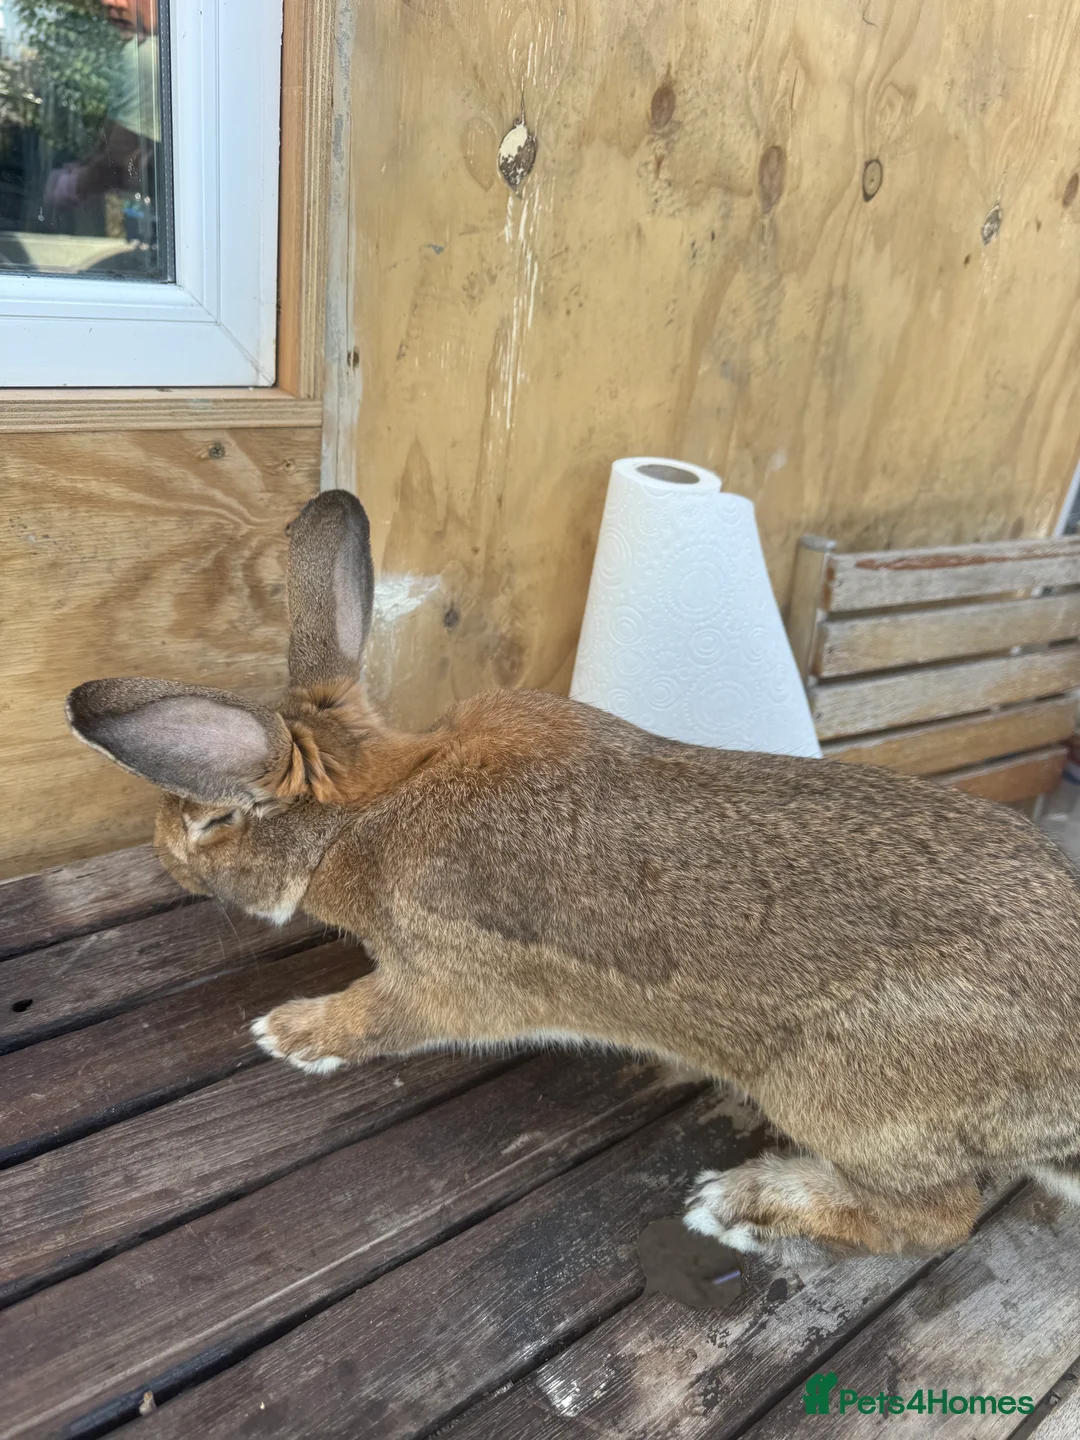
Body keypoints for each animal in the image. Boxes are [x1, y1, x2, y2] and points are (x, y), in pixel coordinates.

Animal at [66, 488, 1080, 1263]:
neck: (374, 803)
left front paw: (290, 1032)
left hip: (834, 1092)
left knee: (937, 1217)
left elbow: (378, 1017)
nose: (160, 849)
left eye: (208, 819)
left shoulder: (440, 980)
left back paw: (742, 1204)